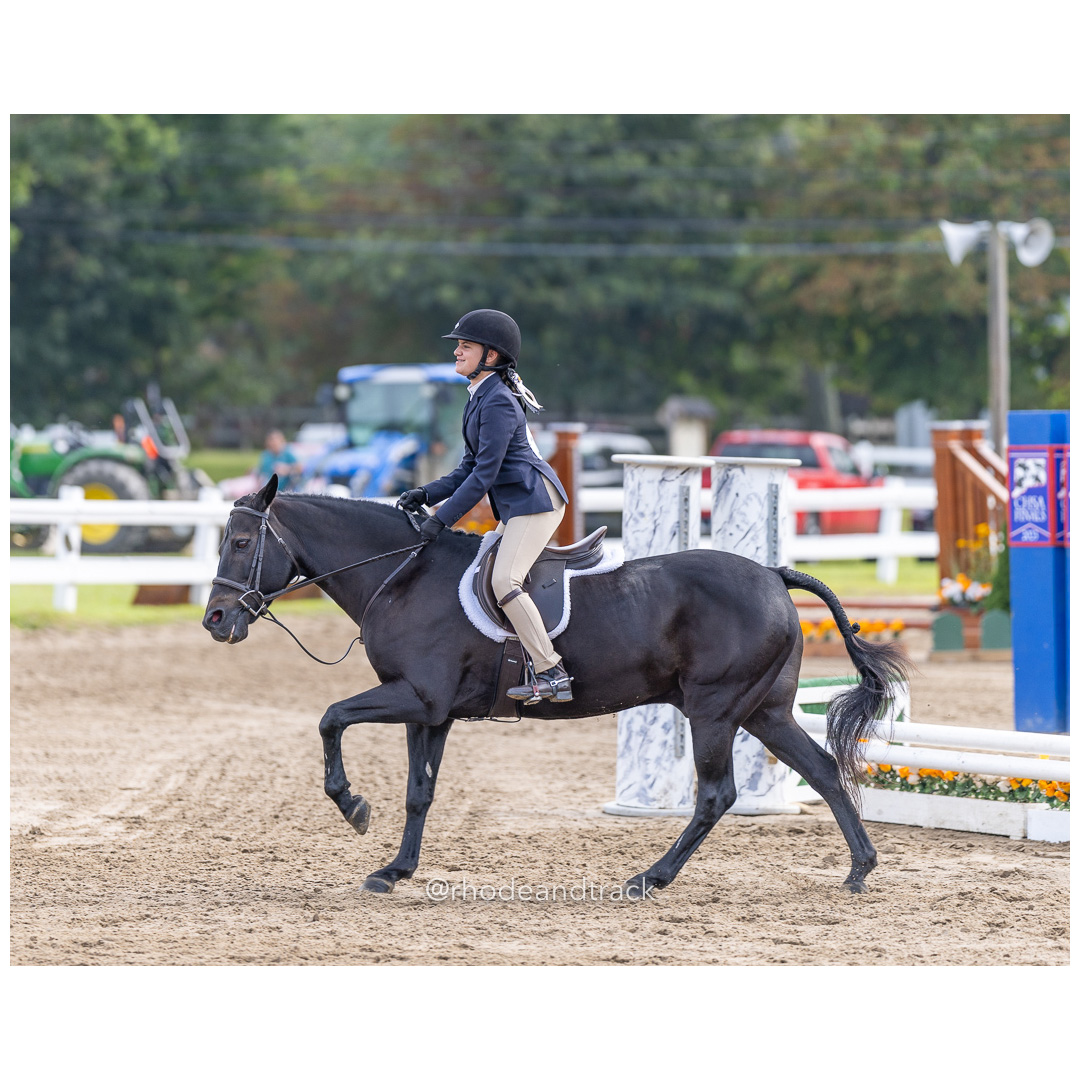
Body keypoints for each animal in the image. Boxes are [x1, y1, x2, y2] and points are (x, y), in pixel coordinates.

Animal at [203, 475, 912, 898]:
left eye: (240, 542)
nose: (215, 620)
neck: (401, 575)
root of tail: (771, 573)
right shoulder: (431, 713)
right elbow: (417, 793)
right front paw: (395, 869)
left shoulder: (416, 696)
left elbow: (330, 717)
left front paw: (352, 806)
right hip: (765, 710)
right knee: (822, 769)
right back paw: (859, 869)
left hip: (714, 709)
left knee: (718, 795)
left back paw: (649, 878)